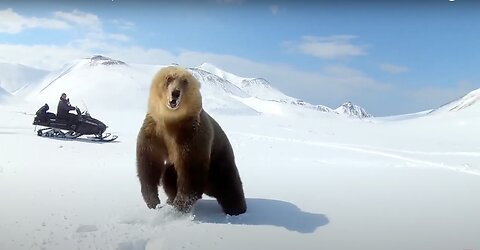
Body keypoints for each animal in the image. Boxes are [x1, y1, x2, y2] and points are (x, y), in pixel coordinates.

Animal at [136, 65, 246, 216]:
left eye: (185, 81)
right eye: (169, 78)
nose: (175, 93)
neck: (170, 121)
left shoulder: (191, 134)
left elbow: (191, 169)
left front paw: (179, 206)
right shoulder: (154, 130)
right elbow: (148, 162)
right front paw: (154, 202)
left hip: (219, 159)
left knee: (228, 183)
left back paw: (237, 209)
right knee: (169, 176)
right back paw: (170, 199)